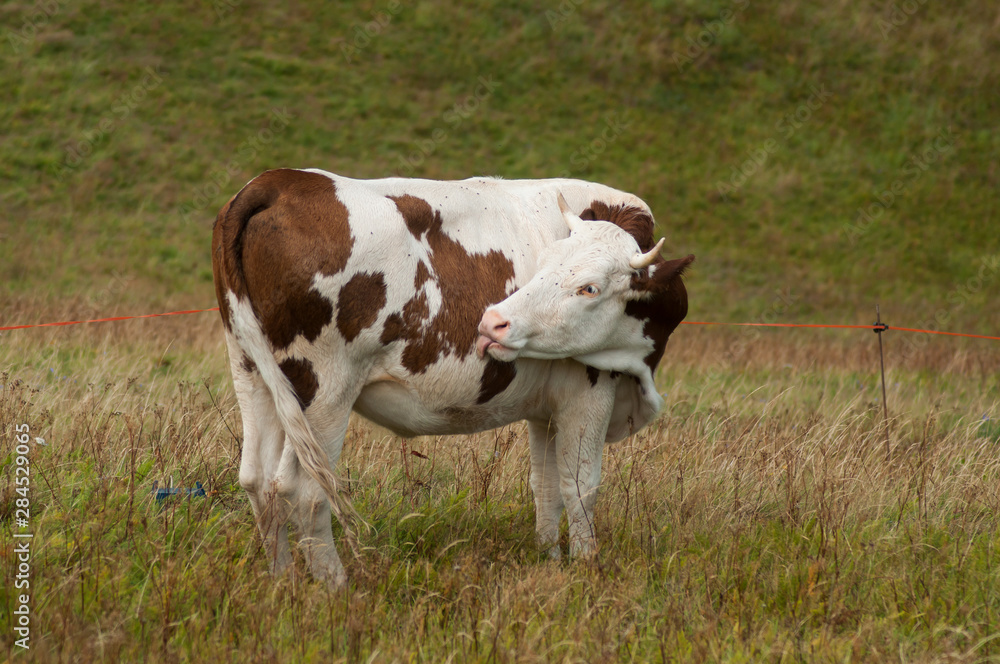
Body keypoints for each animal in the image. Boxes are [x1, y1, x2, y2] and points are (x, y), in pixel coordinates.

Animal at [212, 168, 693, 586]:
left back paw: (284, 581)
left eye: (588, 286)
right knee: (305, 490)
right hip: (326, 390)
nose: (494, 321)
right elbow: (580, 487)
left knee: (257, 479)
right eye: (544, 265)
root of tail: (281, 180)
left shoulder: (545, 409)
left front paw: (550, 562)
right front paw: (586, 570)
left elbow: (545, 486)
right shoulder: (590, 389)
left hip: (253, 370)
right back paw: (336, 587)